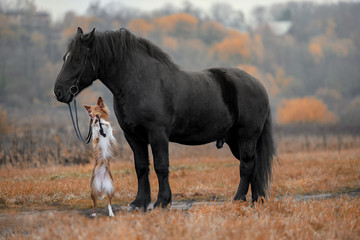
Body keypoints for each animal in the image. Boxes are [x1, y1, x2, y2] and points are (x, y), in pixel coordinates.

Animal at [54, 27, 276, 210]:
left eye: (77, 59)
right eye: (65, 57)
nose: (58, 92)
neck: (140, 81)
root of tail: (258, 85)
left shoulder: (157, 134)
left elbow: (161, 166)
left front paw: (162, 201)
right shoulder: (134, 137)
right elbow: (141, 167)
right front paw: (139, 202)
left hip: (246, 137)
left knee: (246, 166)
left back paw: (238, 199)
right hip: (235, 141)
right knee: (254, 165)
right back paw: (257, 199)